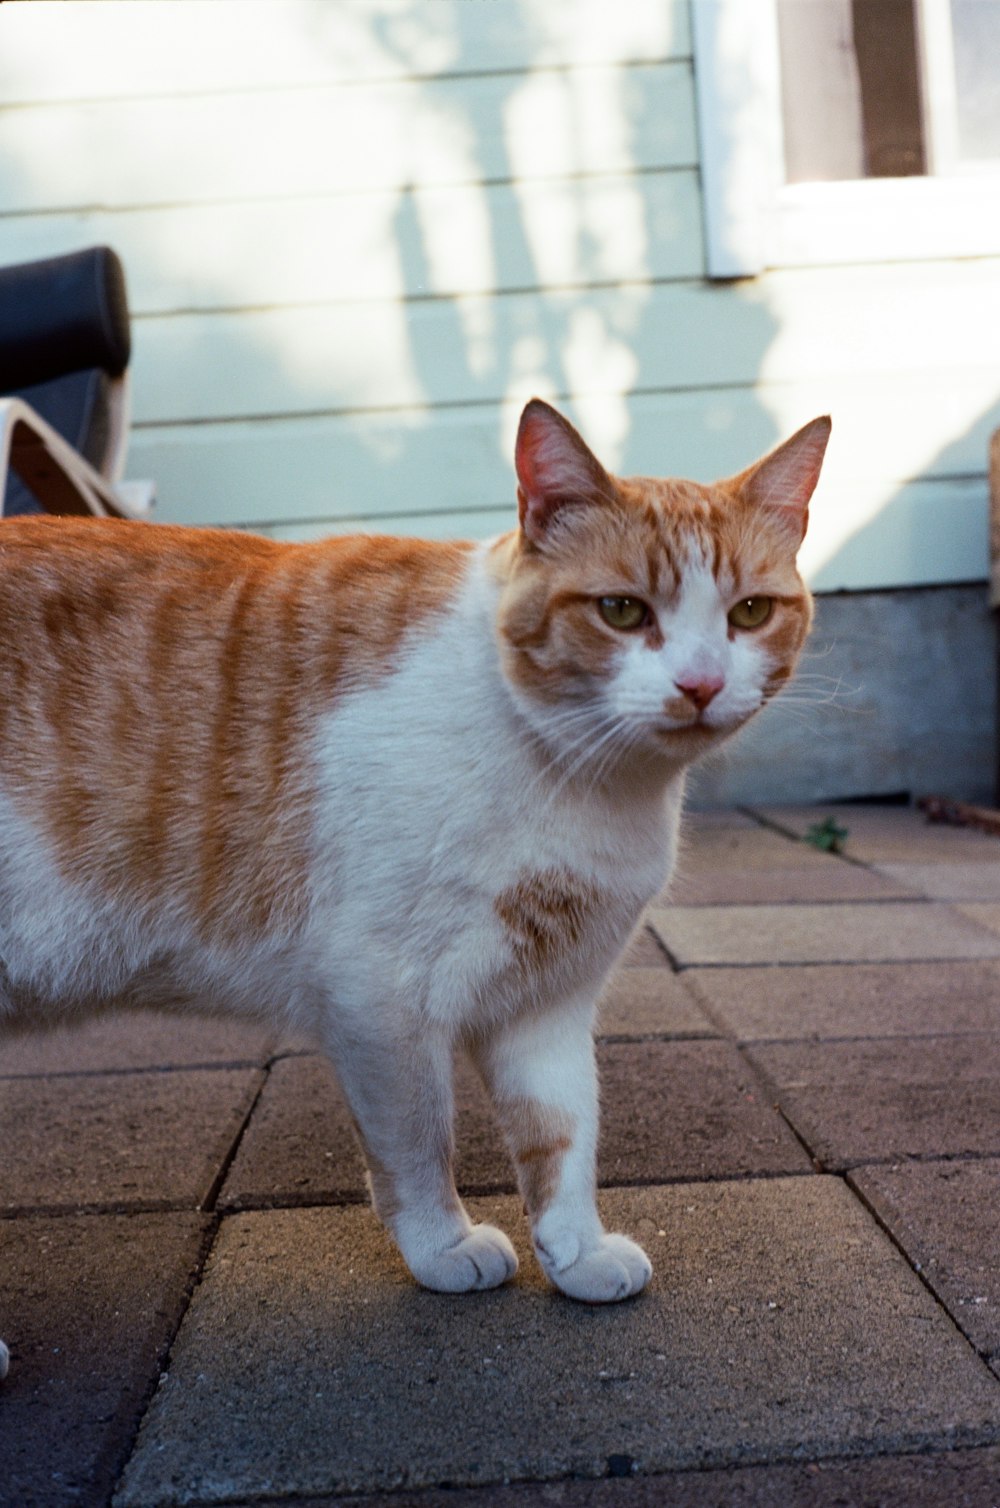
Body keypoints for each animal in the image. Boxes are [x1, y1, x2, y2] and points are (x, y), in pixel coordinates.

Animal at [0, 401, 826, 1381]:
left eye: (750, 613)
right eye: (622, 611)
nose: (700, 685)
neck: (586, 781)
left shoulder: (549, 998)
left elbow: (565, 1136)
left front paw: (577, 1255)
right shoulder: (380, 997)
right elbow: (420, 1140)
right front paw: (444, 1247)